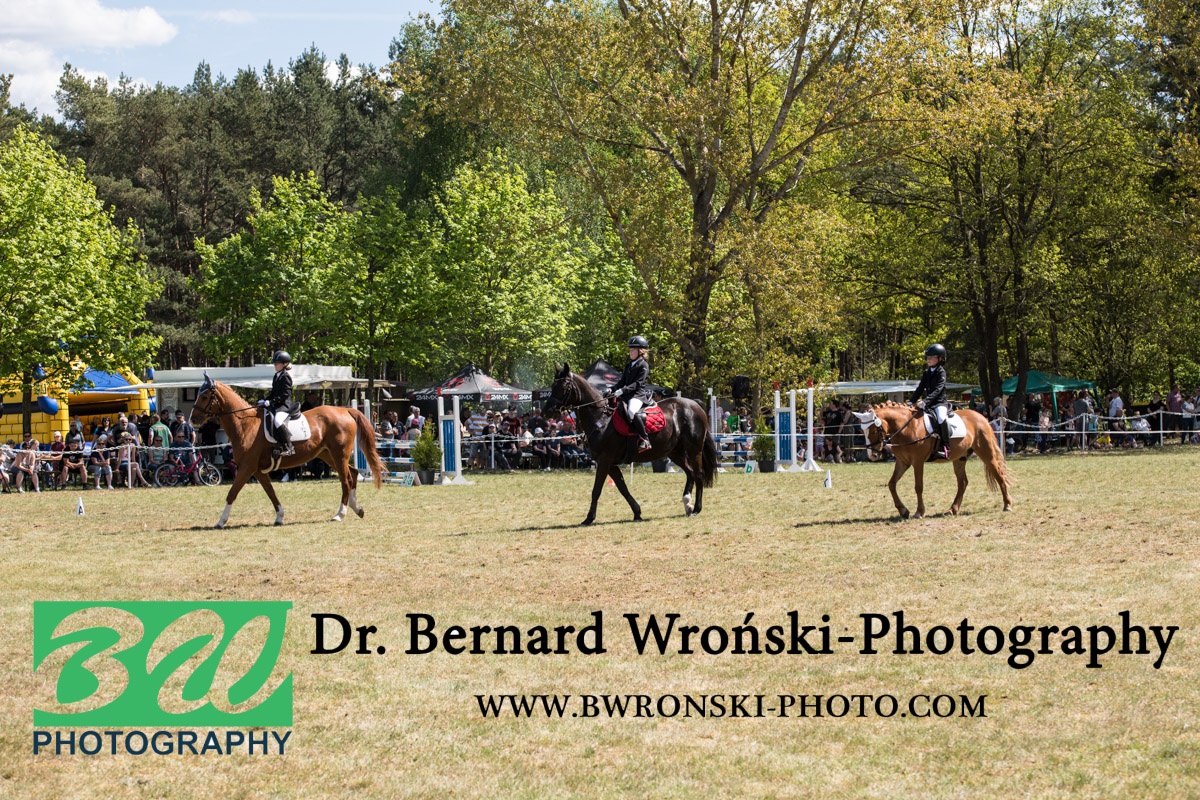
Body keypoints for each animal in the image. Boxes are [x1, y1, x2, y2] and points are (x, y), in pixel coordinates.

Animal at [190, 373, 385, 528]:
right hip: (328, 455)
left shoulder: (246, 467)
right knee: (353, 473)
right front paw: (279, 517)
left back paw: (340, 514)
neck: (246, 424)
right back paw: (357, 508)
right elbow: (271, 493)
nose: (193, 420)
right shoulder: (258, 470)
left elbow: (232, 493)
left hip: (339, 454)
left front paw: (220, 521)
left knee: (346, 480)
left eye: (205, 396)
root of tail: (345, 411)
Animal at [543, 363, 718, 525]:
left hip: (694, 450)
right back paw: (687, 504)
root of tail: (694, 405)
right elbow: (623, 488)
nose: (547, 411)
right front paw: (637, 513)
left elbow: (596, 490)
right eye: (552, 386)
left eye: (564, 386)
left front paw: (589, 518)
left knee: (698, 474)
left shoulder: (604, 461)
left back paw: (696, 508)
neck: (601, 417)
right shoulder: (610, 464)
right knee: (690, 473)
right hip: (675, 452)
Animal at [853, 402, 1012, 519]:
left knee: (999, 474)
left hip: (986, 453)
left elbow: (918, 486)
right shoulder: (903, 462)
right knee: (962, 482)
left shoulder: (917, 462)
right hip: (959, 458)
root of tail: (980, 417)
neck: (906, 427)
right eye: (862, 431)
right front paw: (903, 511)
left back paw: (1007, 505)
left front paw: (919, 512)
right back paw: (952, 509)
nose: (873, 455)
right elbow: (891, 484)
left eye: (874, 430)